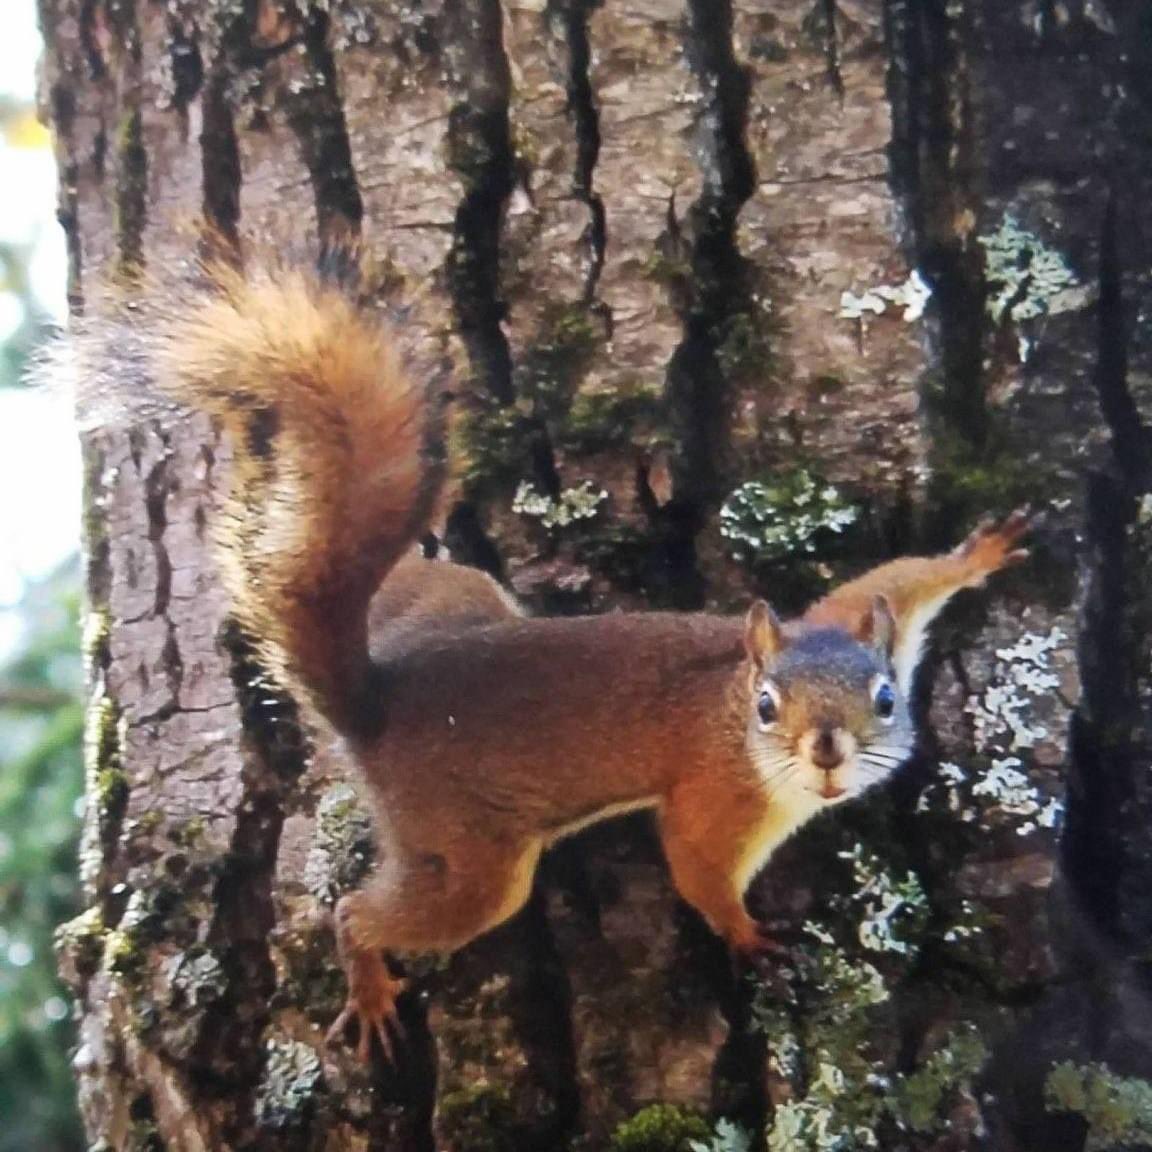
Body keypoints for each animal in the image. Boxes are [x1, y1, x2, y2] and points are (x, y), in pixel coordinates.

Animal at [119, 260, 1031, 1064]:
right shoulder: (714, 795)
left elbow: (899, 577)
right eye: (768, 707)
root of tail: (373, 704)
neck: (732, 706)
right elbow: (698, 869)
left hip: (456, 597)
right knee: (362, 911)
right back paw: (369, 985)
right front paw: (746, 937)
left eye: (885, 698)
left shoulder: (844, 615)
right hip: (470, 858)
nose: (829, 751)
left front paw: (982, 551)